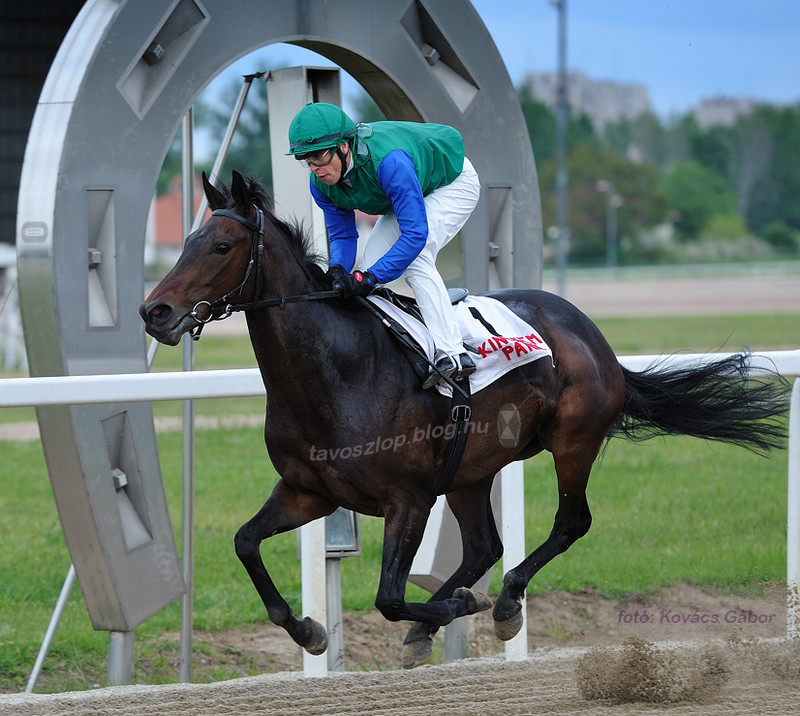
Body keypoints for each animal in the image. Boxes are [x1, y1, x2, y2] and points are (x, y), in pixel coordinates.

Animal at [141, 171, 784, 668]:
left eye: (222, 246)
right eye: (188, 240)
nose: (156, 312)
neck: (337, 372)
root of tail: (591, 334)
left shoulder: (408, 498)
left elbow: (388, 596)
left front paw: (460, 606)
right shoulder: (309, 490)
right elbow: (246, 542)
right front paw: (308, 629)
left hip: (572, 442)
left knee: (569, 523)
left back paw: (501, 603)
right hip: (471, 470)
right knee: (483, 547)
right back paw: (440, 621)